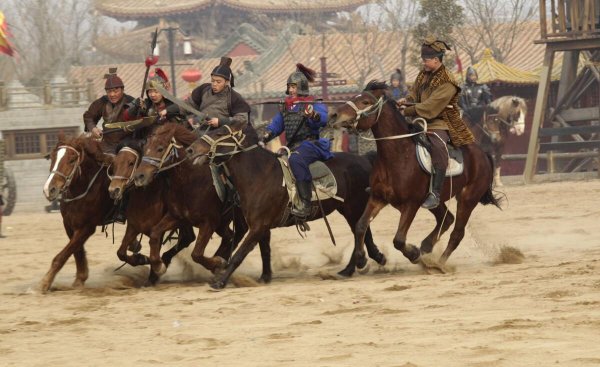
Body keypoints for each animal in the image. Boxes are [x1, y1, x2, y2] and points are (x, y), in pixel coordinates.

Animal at [41, 135, 115, 294]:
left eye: (72, 159)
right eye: (52, 157)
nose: (49, 189)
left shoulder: (87, 227)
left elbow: (63, 255)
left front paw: (45, 282)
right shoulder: (69, 225)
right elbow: (76, 251)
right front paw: (80, 279)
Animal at [131, 125, 272, 284]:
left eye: (160, 148)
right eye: (145, 147)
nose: (139, 176)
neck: (191, 181)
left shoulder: (208, 222)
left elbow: (197, 254)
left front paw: (218, 263)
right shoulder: (177, 217)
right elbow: (155, 234)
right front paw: (158, 266)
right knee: (234, 235)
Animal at [185, 123, 386, 290]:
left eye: (219, 133)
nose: (190, 150)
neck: (259, 175)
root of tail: (364, 160)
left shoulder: (258, 226)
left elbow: (239, 255)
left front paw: (220, 281)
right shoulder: (261, 226)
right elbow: (265, 250)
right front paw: (265, 276)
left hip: (353, 208)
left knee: (362, 231)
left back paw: (361, 262)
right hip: (347, 209)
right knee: (363, 231)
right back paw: (356, 265)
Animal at [328, 82, 502, 274]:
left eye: (365, 101)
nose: (334, 115)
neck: (398, 155)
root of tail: (483, 154)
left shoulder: (411, 204)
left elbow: (398, 240)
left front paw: (413, 254)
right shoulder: (377, 198)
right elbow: (360, 226)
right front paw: (361, 260)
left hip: (467, 199)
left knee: (457, 233)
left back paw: (438, 264)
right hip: (437, 202)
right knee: (447, 219)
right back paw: (427, 247)